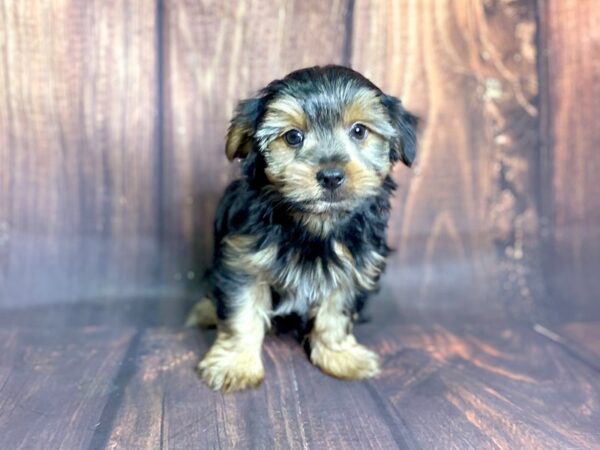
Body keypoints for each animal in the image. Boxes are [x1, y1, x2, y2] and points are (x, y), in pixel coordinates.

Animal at [192, 65, 418, 392]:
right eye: (293, 137)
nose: (331, 175)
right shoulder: (243, 261)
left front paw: (339, 356)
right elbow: (242, 312)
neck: (314, 223)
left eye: (359, 131)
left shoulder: (353, 267)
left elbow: (335, 315)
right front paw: (236, 363)